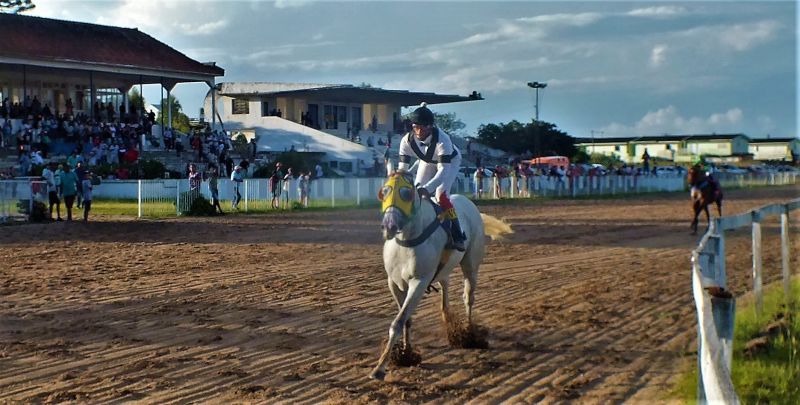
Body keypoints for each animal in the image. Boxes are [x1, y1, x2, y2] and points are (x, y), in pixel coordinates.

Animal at [370, 171, 512, 381]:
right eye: (384, 191)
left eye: (406, 193)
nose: (389, 225)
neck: (408, 240)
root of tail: (467, 202)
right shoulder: (393, 283)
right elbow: (405, 319)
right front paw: (405, 353)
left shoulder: (419, 282)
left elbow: (399, 321)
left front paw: (380, 368)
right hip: (444, 269)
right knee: (445, 288)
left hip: (471, 264)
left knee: (468, 297)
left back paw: (468, 334)